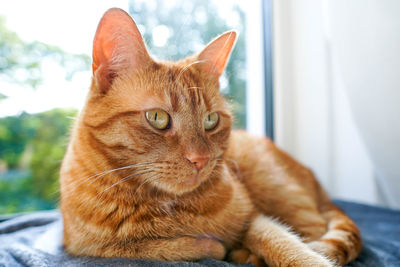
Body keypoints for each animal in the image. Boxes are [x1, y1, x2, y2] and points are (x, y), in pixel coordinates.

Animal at [60, 8, 362, 267]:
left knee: (316, 232)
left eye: (210, 120)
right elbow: (161, 247)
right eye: (157, 118)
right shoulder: (87, 246)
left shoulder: (255, 217)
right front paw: (208, 244)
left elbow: (287, 244)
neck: (164, 206)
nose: (201, 159)